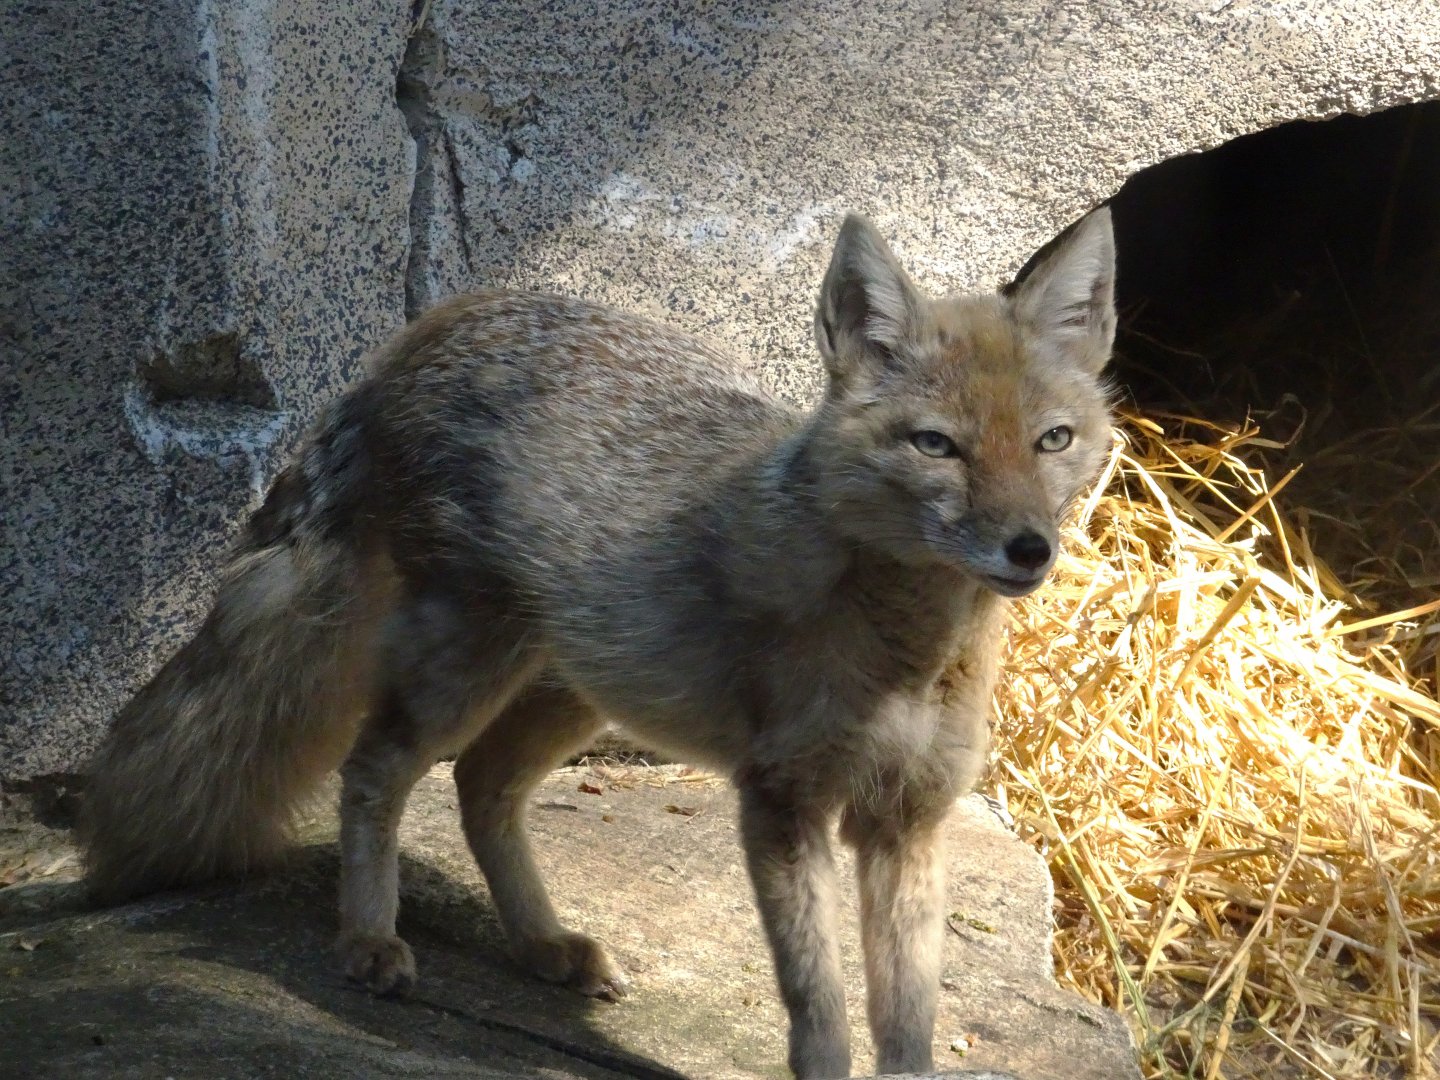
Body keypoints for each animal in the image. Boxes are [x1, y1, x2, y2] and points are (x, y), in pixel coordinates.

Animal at [79, 207, 1116, 1078]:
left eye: (1053, 440)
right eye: (937, 446)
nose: (1030, 548)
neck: (907, 653)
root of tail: (441, 322)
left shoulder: (908, 821)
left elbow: (906, 1023)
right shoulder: (783, 806)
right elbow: (819, 1007)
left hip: (577, 690)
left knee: (480, 788)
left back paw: (540, 945)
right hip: (464, 669)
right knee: (374, 773)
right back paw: (369, 939)